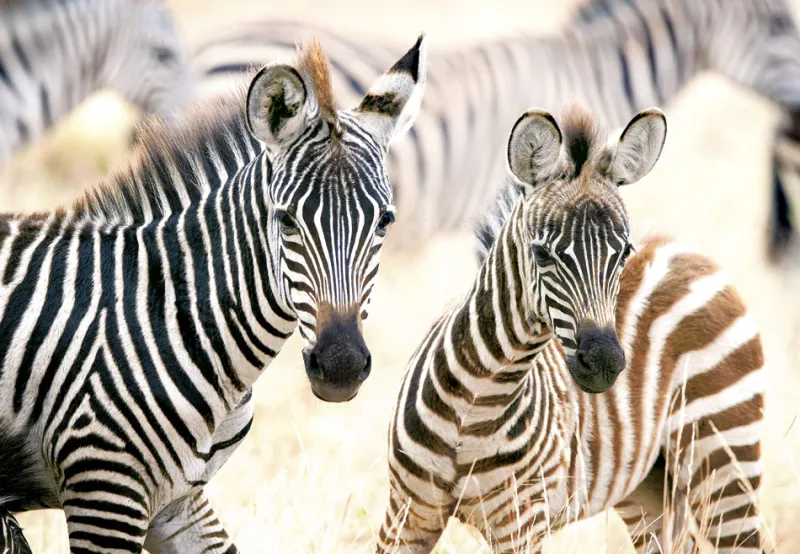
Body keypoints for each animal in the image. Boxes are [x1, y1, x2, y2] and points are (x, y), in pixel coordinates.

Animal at [376, 106, 766, 553]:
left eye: (624, 253)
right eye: (542, 254)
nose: (604, 362)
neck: (476, 404)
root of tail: (690, 253)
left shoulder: (521, 525)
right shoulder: (405, 515)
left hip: (726, 459)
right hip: (651, 490)